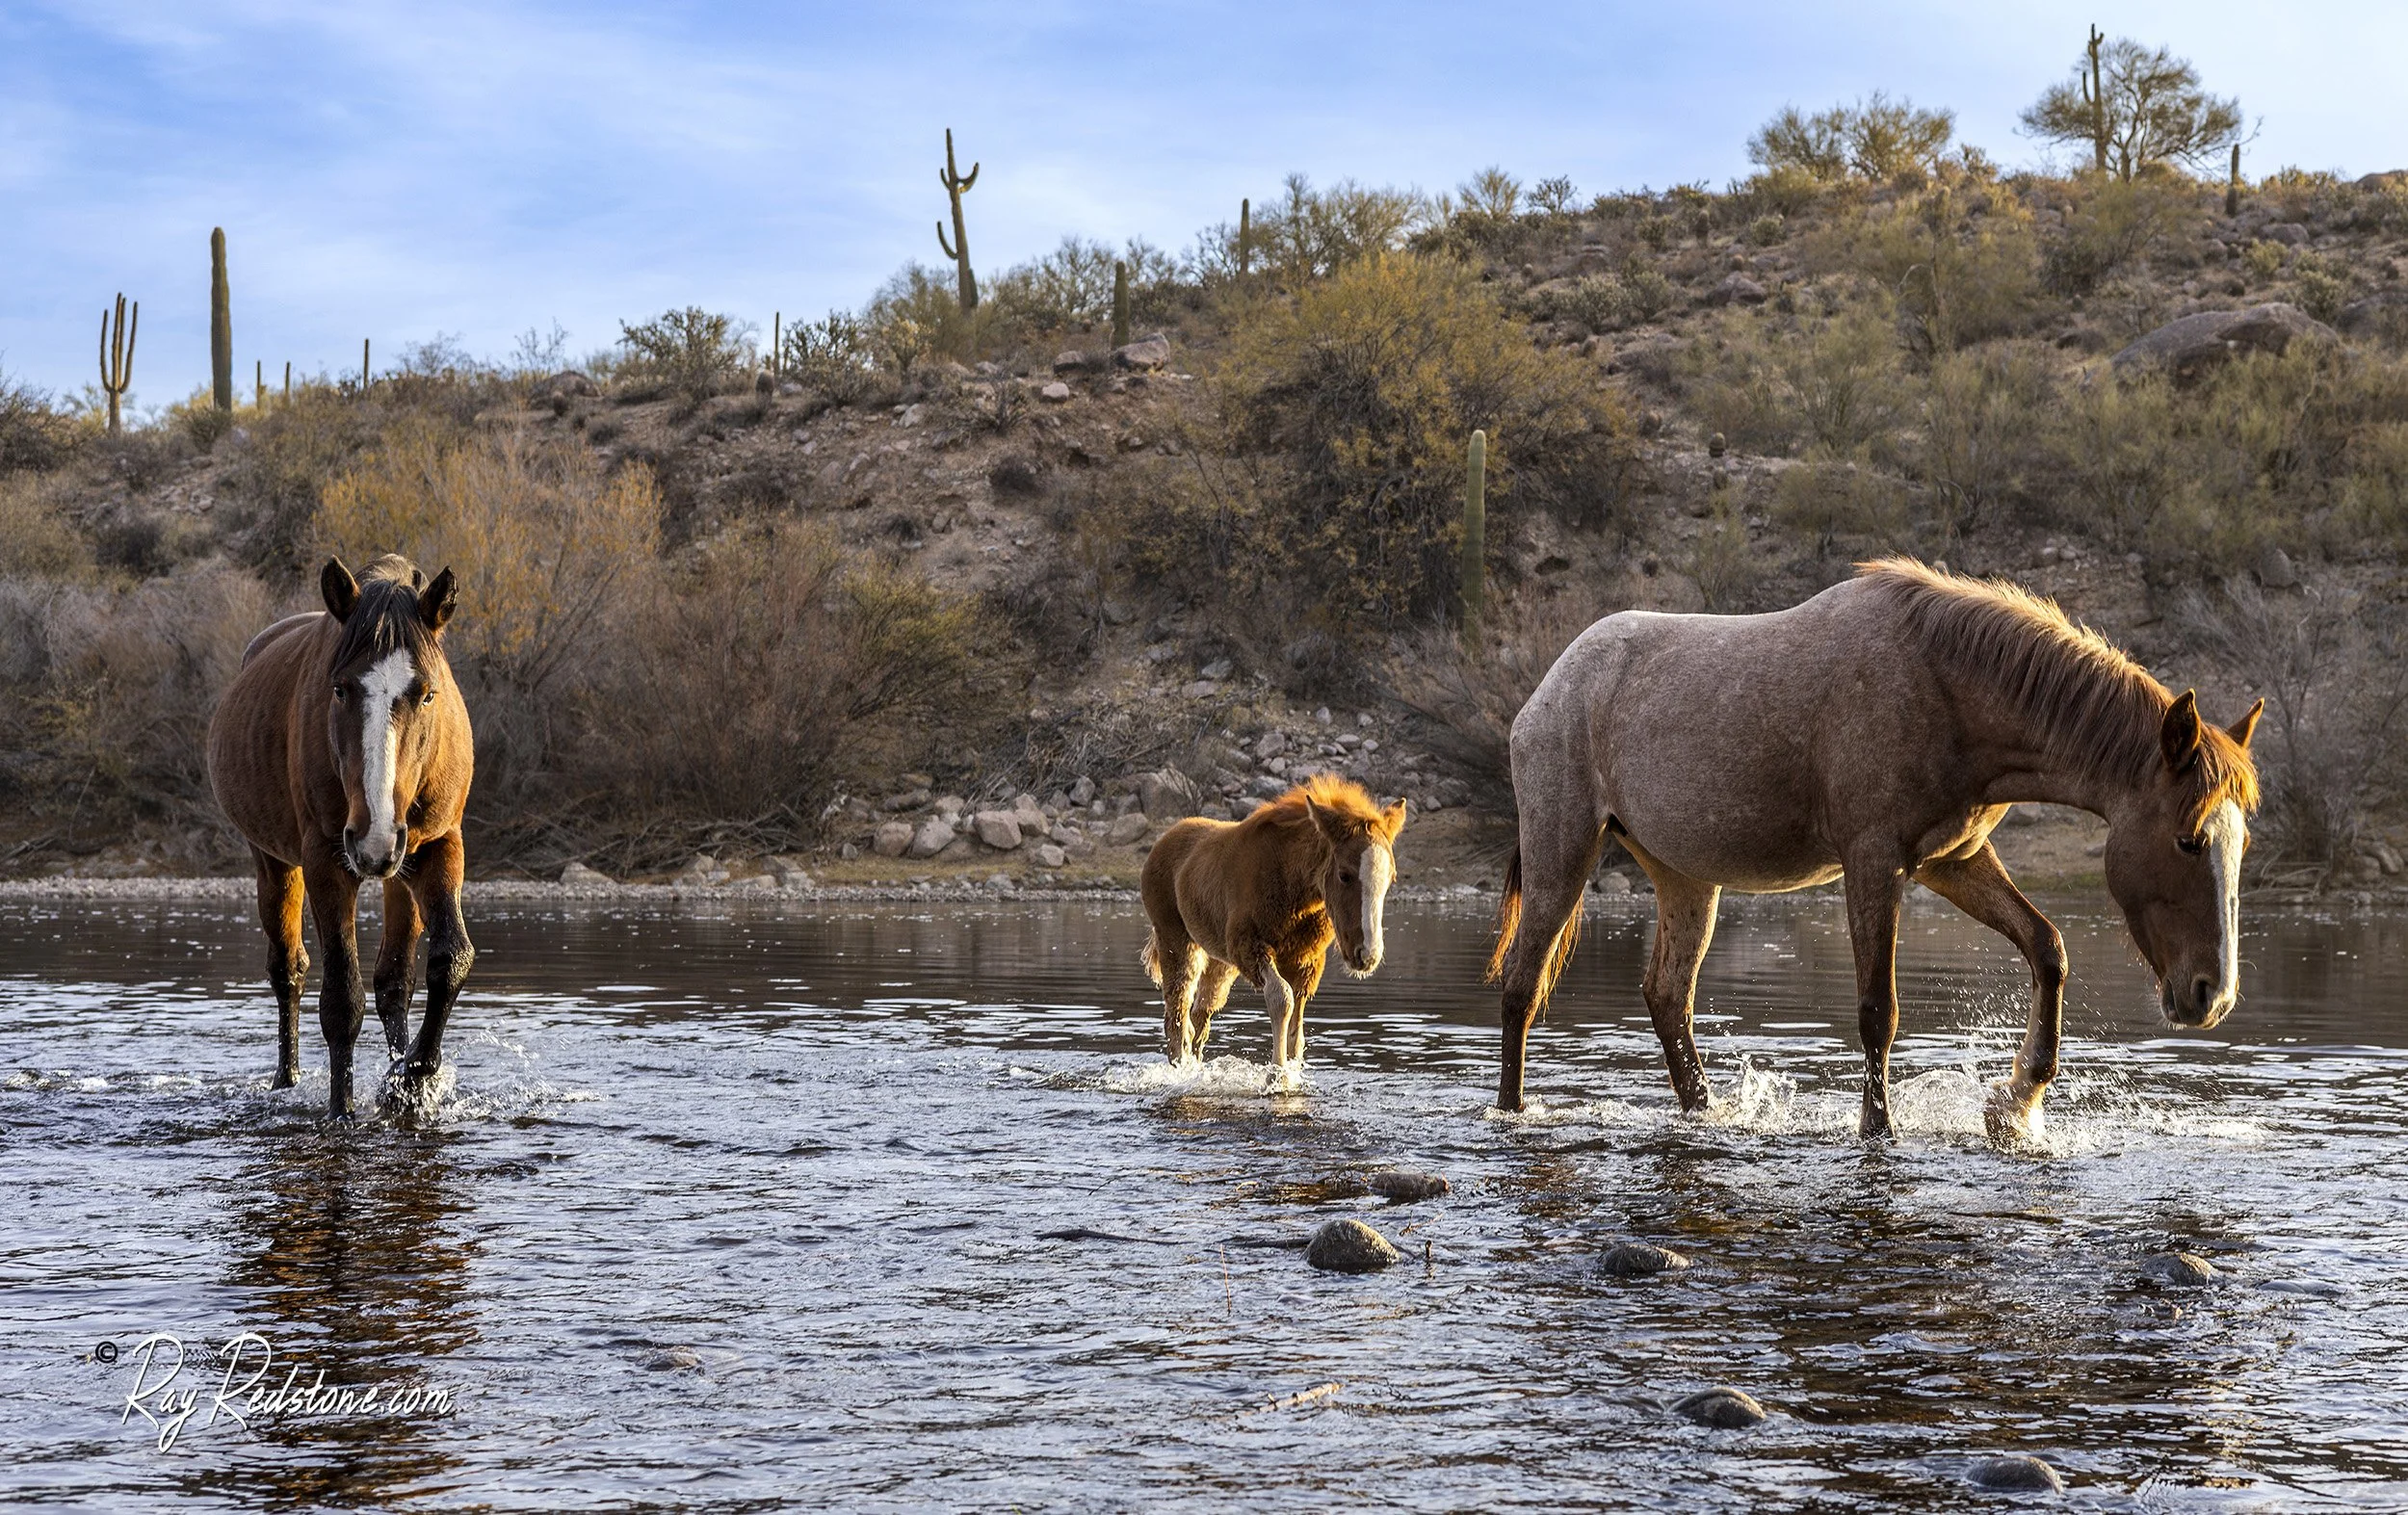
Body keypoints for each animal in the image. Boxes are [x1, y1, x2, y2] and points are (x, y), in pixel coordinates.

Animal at [206, 555, 477, 1118]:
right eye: (339, 688)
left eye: (428, 693)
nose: (374, 838)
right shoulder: (326, 861)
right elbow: (340, 999)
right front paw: (343, 1110)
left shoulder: (439, 847)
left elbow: (449, 961)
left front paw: (411, 1082)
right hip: (275, 864)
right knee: (289, 971)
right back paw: (286, 1080)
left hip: (400, 867)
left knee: (394, 981)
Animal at [1140, 775, 1408, 1080]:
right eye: (1344, 875)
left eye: (1391, 878)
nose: (1367, 955)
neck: (1292, 885)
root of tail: (1161, 843)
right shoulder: (1250, 947)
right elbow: (1282, 999)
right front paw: (1277, 1073)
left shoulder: (1306, 961)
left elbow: (1297, 1028)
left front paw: (1293, 1070)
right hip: (1176, 940)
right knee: (1177, 1013)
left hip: (1220, 961)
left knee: (1200, 1015)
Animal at [1490, 558, 2261, 1141]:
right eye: (2188, 839)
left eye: (2240, 842)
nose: (2211, 995)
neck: (1946, 685)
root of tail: (1548, 690)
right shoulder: (1872, 863)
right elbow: (1878, 1012)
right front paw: (1879, 1130)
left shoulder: (1953, 861)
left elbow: (2048, 948)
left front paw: (2016, 1103)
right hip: (1565, 851)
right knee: (1523, 986)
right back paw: (1512, 1110)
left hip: (1685, 878)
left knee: (1667, 997)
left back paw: (1706, 1113)